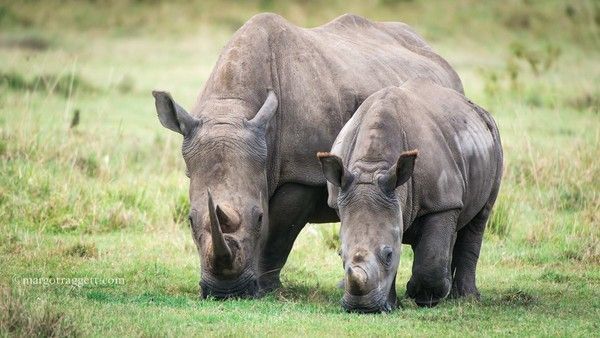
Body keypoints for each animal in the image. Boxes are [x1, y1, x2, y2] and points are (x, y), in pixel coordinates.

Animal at [152, 12, 462, 298]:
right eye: (189, 221)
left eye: (259, 218)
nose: (226, 293)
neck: (230, 109)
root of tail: (439, 57)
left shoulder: (301, 173)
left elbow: (278, 232)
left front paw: (265, 289)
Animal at [318, 78, 502, 312]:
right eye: (340, 255)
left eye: (388, 255)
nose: (361, 307)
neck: (372, 167)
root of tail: (478, 109)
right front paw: (392, 305)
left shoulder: (443, 202)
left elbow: (431, 256)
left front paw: (424, 298)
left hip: (493, 140)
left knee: (479, 218)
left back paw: (465, 298)